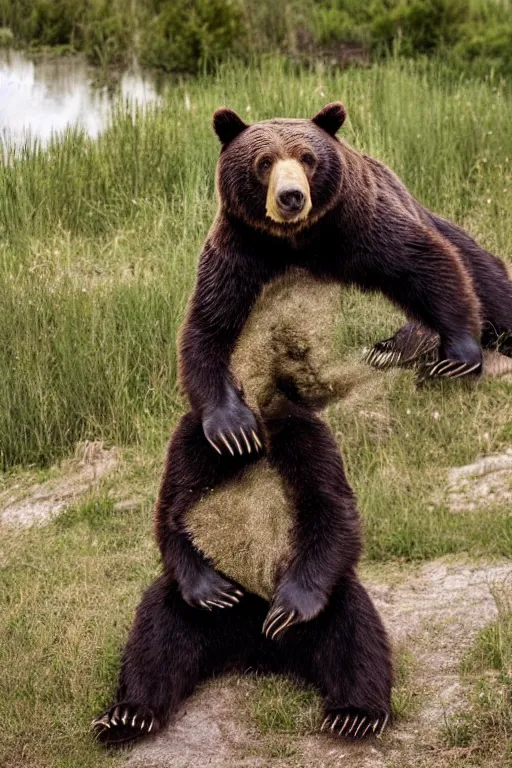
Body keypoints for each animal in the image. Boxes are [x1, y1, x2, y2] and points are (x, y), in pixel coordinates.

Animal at [94, 268, 394, 744]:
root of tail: (255, 652)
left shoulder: (305, 441)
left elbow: (330, 510)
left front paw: (289, 606)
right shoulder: (192, 445)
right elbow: (172, 513)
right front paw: (210, 588)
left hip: (313, 610)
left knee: (353, 625)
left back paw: (355, 713)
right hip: (214, 617)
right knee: (158, 625)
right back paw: (128, 714)